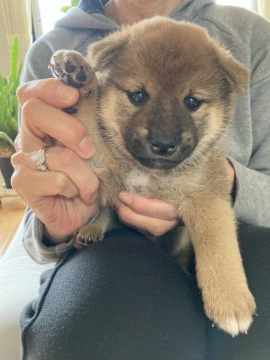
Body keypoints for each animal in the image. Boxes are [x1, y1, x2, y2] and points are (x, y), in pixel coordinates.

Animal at [50, 16, 255, 338]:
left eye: (192, 102)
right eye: (138, 96)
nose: (163, 143)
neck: (151, 173)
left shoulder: (207, 197)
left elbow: (219, 246)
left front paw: (230, 302)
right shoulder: (100, 158)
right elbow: (88, 118)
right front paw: (78, 75)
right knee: (106, 211)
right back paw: (91, 229)